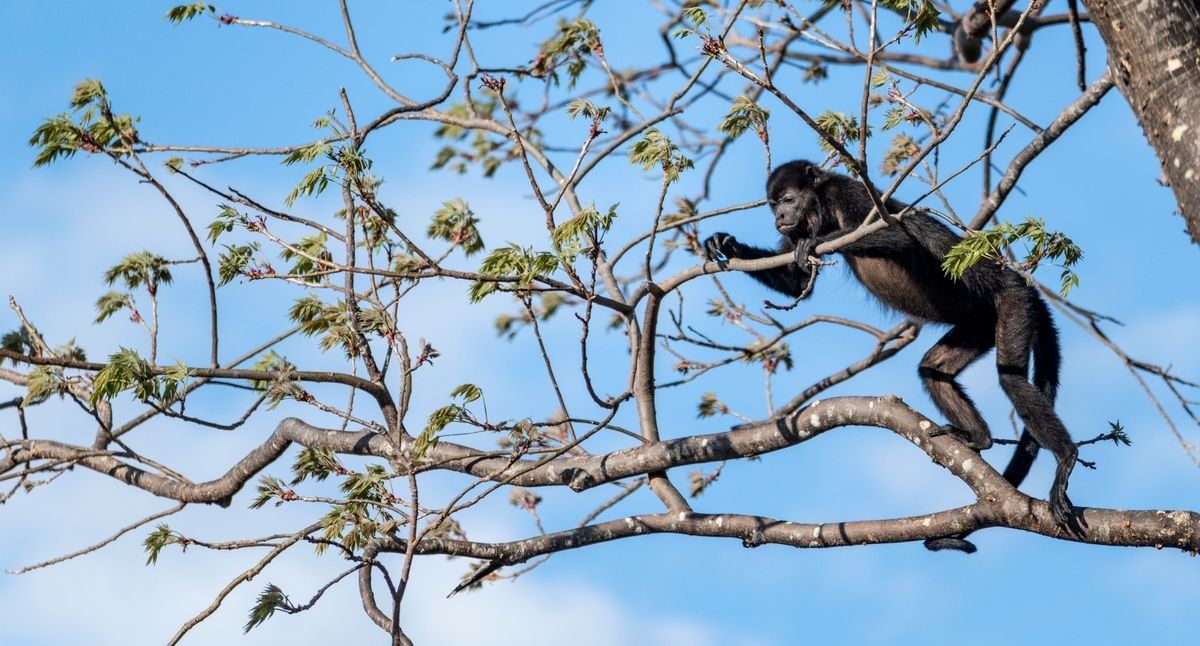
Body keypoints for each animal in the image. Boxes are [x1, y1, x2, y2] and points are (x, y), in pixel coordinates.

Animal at [703, 160, 1080, 548]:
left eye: (788, 200)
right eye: (773, 204)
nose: (779, 216)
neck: (821, 208)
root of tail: (1022, 285)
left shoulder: (849, 194)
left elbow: (898, 236)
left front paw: (816, 243)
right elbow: (796, 283)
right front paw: (728, 245)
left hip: (1012, 305)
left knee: (1011, 380)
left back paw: (1066, 457)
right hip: (981, 323)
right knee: (932, 369)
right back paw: (978, 437)